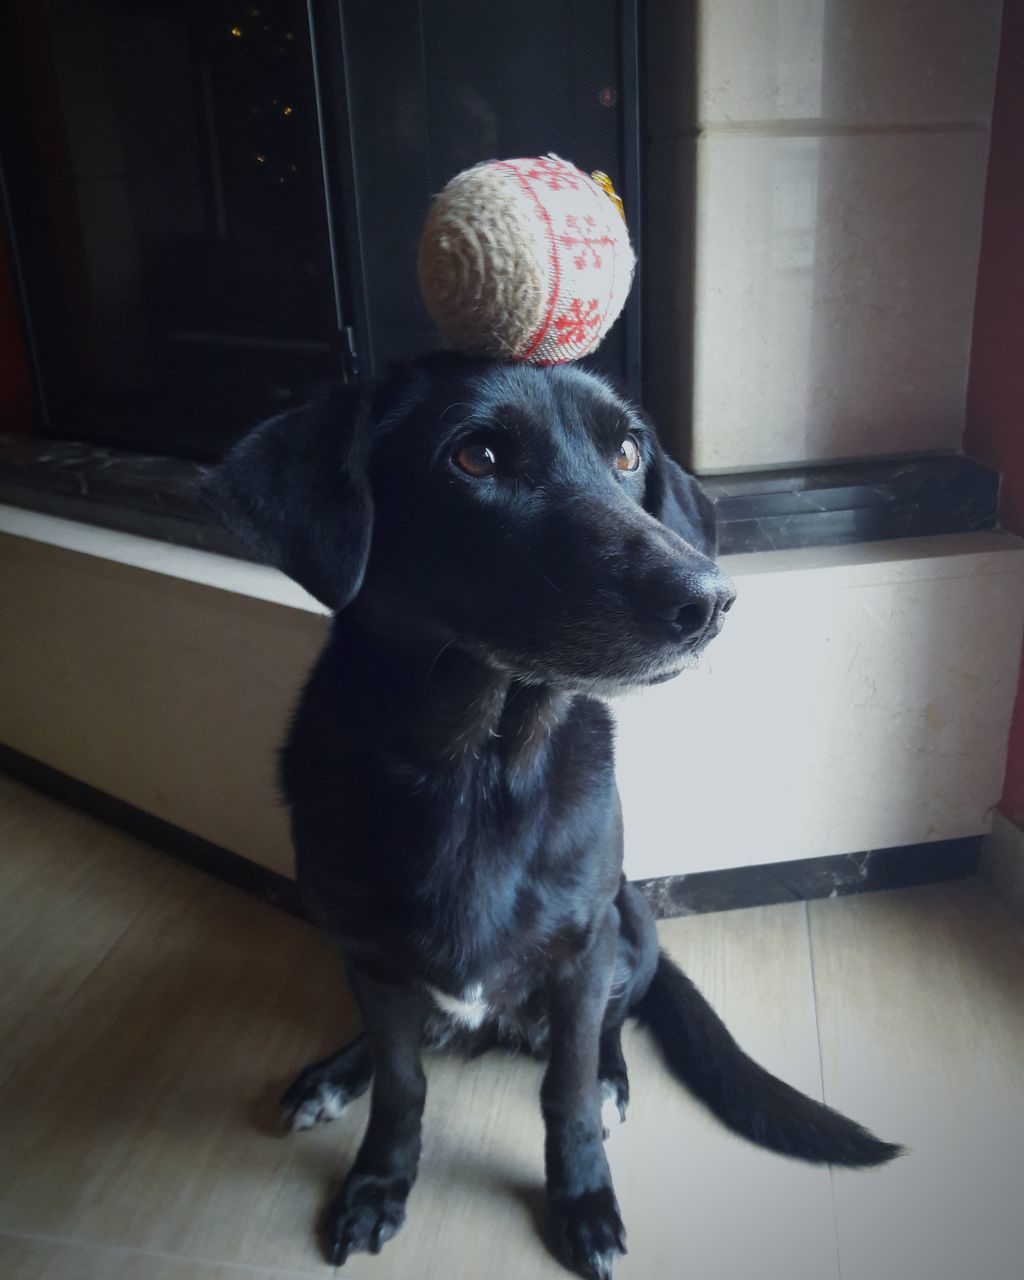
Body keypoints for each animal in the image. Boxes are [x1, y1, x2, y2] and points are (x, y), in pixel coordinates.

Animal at [212, 355, 901, 1280]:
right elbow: (402, 1083)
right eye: (475, 458)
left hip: (627, 921)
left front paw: (582, 1198)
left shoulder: (580, 949)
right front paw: (378, 1181)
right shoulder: (367, 954)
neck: (478, 768)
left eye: (627, 454)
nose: (710, 602)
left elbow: (564, 1090)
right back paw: (334, 1073)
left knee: (613, 1021)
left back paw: (612, 1078)